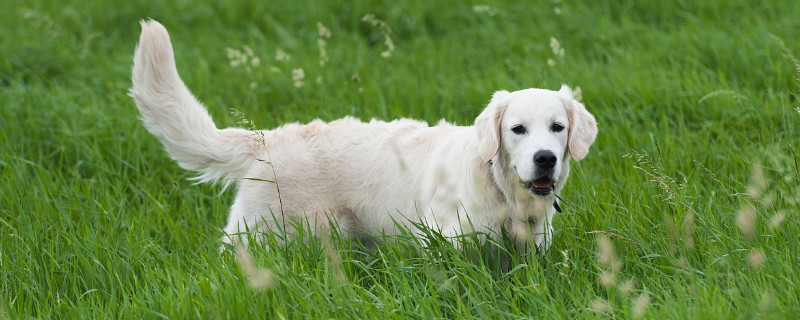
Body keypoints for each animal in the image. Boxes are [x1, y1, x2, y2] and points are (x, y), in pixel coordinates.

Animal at [130, 20, 592, 255]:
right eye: (517, 130)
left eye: (557, 128)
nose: (546, 158)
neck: (504, 194)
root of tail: (267, 139)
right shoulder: (446, 245)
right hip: (263, 234)